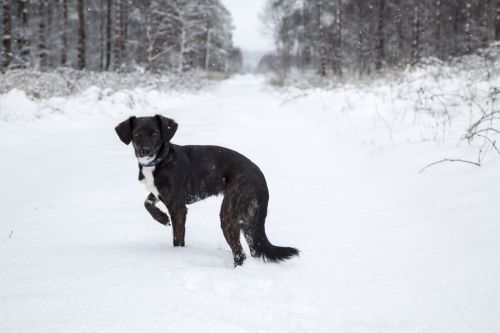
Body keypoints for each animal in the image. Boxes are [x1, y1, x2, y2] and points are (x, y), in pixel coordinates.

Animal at [115, 115, 298, 266]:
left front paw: (176, 255)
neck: (159, 160)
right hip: (249, 221)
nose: (144, 151)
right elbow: (146, 203)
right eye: (136, 133)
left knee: (240, 253)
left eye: (154, 134)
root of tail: (260, 177)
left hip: (228, 214)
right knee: (253, 250)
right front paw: (162, 218)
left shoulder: (178, 208)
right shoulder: (159, 194)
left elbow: (177, 238)